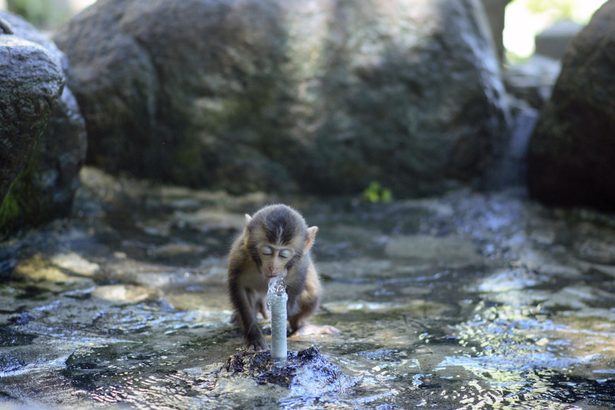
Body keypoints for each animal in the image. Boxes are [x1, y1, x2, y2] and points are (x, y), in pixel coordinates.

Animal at [227, 204, 330, 350]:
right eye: (267, 252)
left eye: (283, 255)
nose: (272, 266)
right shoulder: (240, 256)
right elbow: (241, 291)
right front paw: (254, 336)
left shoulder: (300, 264)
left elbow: (294, 291)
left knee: (312, 293)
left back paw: (302, 327)